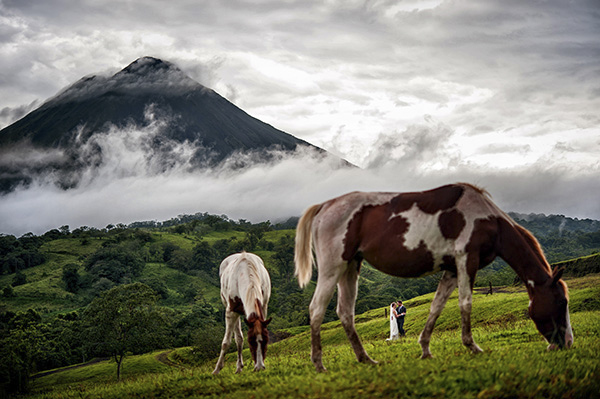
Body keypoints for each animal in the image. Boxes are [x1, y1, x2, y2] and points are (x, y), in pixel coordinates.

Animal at [296, 183, 576, 374]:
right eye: (562, 302)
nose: (566, 343)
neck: (488, 220)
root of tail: (324, 206)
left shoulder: (451, 269)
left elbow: (437, 307)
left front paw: (425, 349)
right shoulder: (466, 261)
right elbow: (465, 304)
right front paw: (472, 346)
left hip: (351, 267)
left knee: (345, 312)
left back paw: (365, 358)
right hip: (333, 268)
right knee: (317, 309)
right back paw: (319, 364)